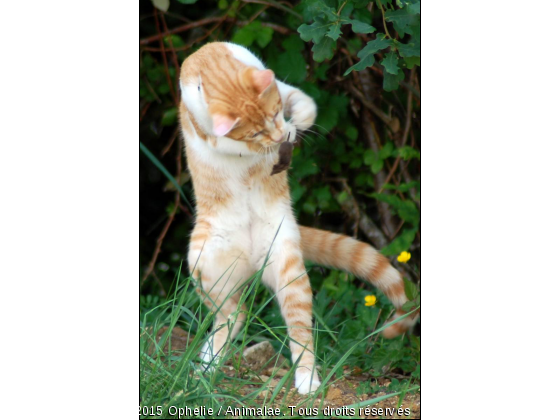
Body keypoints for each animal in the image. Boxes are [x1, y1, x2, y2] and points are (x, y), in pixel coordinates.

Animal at [178, 41, 416, 394]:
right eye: (255, 132)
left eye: (276, 111)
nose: (279, 137)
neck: (211, 64)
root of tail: (252, 261)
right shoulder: (208, 133)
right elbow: (231, 145)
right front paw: (270, 145)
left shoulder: (282, 88)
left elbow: (303, 101)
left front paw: (298, 122)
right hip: (207, 269)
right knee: (231, 316)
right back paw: (207, 364)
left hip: (289, 270)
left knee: (297, 335)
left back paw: (307, 381)